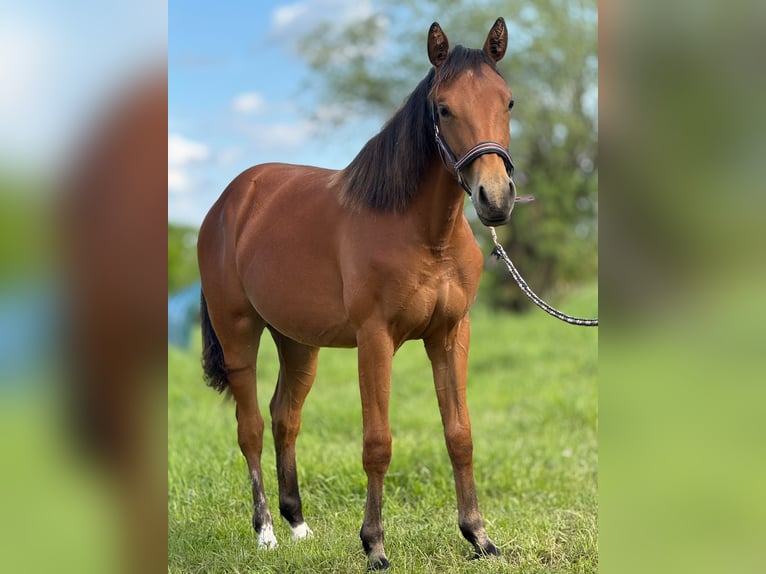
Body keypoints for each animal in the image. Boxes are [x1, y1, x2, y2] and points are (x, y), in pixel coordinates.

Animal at [197, 18, 516, 570]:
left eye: (508, 101)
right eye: (444, 107)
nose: (494, 199)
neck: (424, 232)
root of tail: (228, 202)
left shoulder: (451, 334)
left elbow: (460, 434)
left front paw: (478, 537)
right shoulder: (375, 340)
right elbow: (377, 443)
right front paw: (375, 546)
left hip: (298, 343)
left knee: (285, 418)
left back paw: (298, 524)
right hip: (238, 334)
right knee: (251, 427)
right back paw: (266, 532)